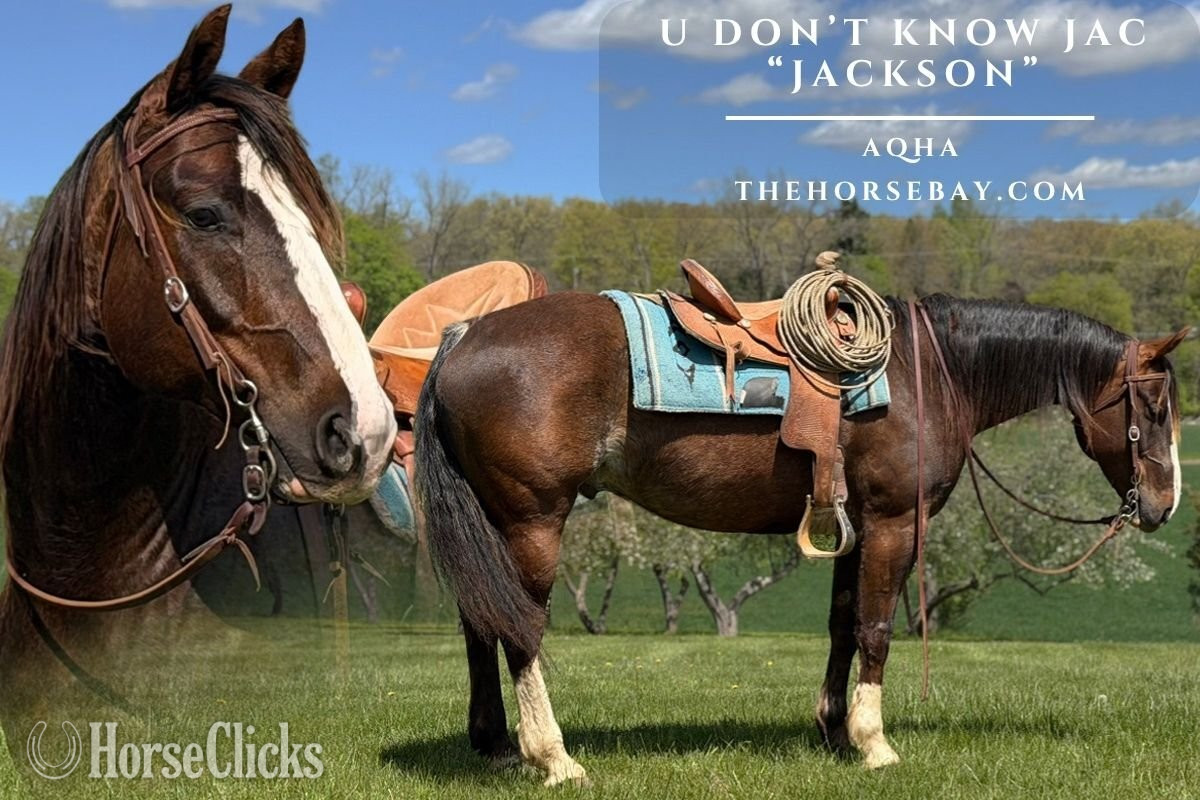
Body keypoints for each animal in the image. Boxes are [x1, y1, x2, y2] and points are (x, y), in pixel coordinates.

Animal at [414, 289, 1187, 784]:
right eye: (1153, 406)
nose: (1164, 504)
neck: (930, 373)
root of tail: (464, 336)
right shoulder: (893, 522)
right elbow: (876, 627)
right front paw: (875, 745)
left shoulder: (856, 522)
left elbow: (844, 623)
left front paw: (834, 730)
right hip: (533, 521)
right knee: (520, 630)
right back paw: (553, 757)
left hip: (492, 525)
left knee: (480, 622)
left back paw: (496, 746)